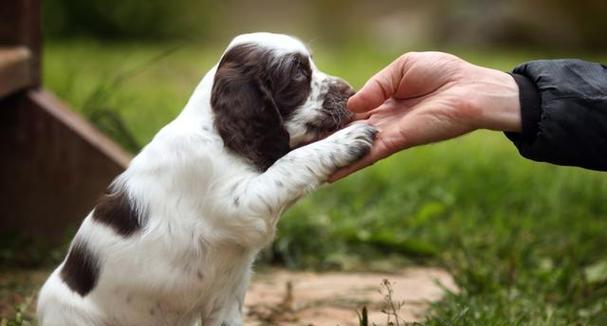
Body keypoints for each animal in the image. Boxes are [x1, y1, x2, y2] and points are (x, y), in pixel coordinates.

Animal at [36, 33, 376, 326]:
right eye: (297, 73)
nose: (351, 92)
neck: (216, 131)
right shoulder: (241, 204)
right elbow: (289, 164)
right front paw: (349, 140)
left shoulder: (226, 301)